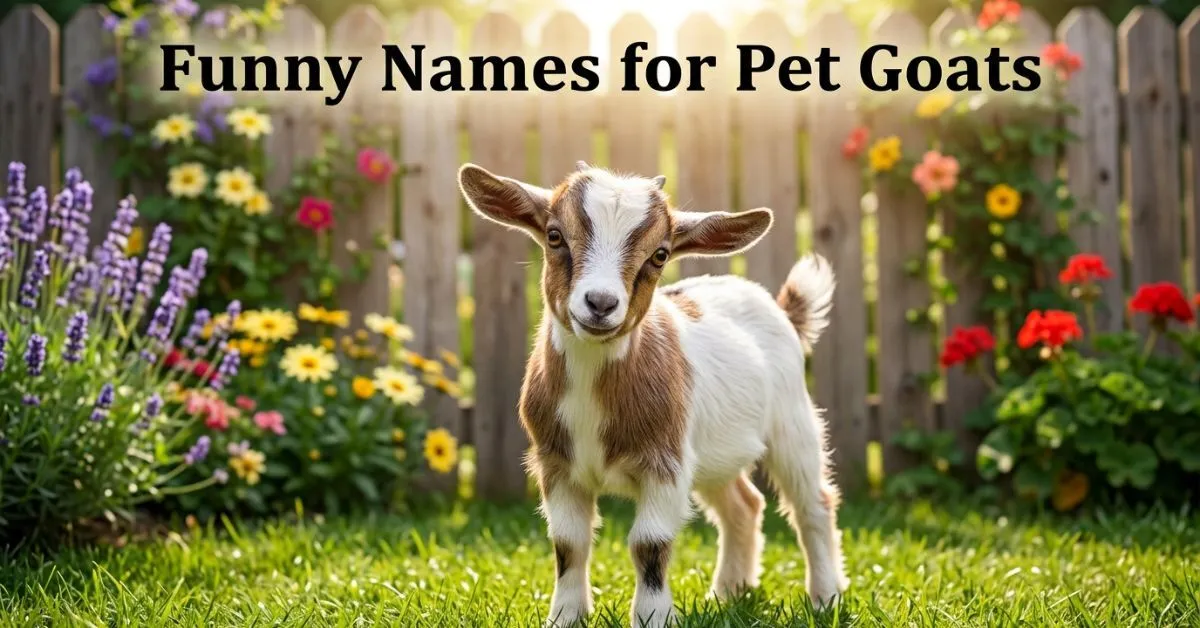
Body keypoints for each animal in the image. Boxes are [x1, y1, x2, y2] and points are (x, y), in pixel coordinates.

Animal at [458, 161, 849, 627]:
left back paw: (825, 597)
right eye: (554, 236)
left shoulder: (665, 463)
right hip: (713, 453)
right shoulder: (555, 464)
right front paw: (565, 617)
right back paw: (727, 594)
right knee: (744, 505)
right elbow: (569, 543)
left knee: (813, 503)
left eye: (659, 255)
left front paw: (653, 617)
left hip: (792, 422)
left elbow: (649, 544)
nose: (601, 303)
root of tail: (780, 308)